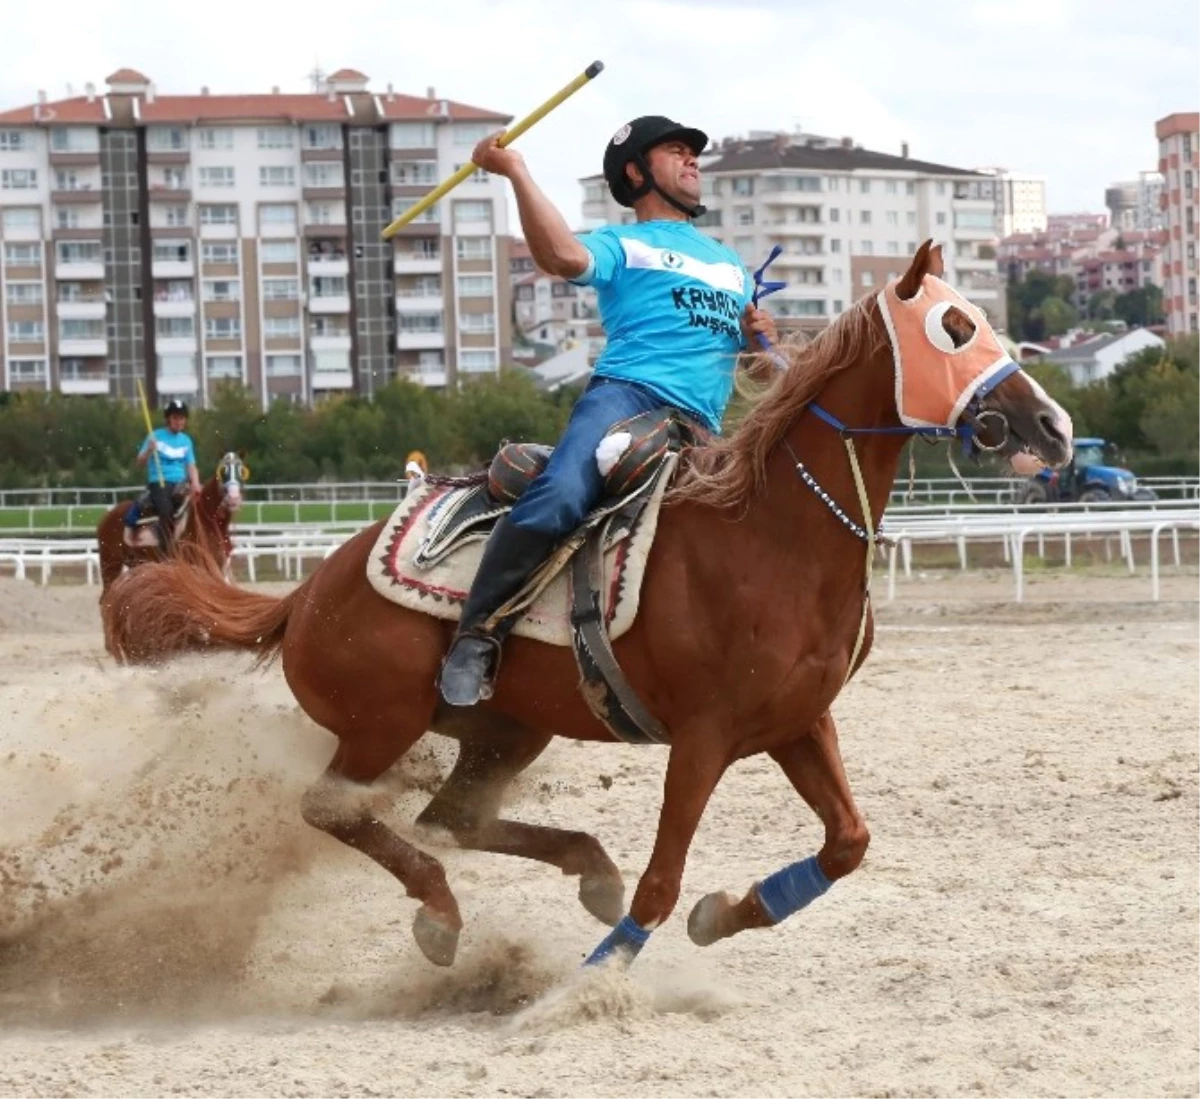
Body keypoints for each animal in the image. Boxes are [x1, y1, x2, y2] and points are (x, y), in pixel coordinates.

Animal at [97, 451, 249, 597]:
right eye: (223, 471)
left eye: (241, 471)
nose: (233, 498)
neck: (207, 521)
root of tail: (107, 516)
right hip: (110, 563)